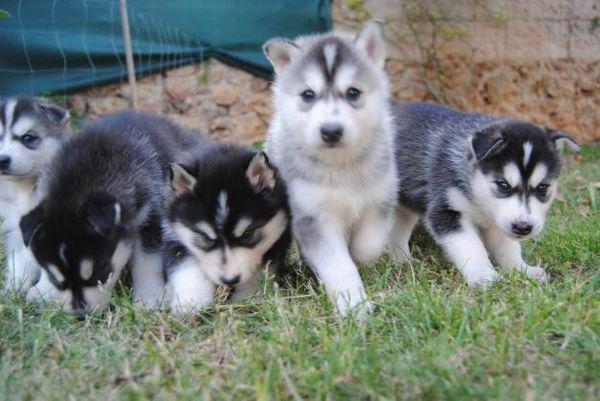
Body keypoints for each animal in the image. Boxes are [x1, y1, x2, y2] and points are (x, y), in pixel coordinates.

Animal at [20, 110, 199, 312]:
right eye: (56, 279)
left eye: (101, 272)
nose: (81, 314)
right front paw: (42, 290)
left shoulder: (151, 216)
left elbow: (147, 263)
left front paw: (148, 298)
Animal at [164, 142, 290, 314]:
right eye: (205, 237)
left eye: (248, 234)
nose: (229, 280)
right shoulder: (174, 237)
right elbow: (187, 267)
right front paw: (190, 301)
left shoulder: (277, 239)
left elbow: (262, 269)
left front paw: (248, 297)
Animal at [264, 21, 398, 316]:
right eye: (308, 94)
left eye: (353, 92)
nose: (331, 131)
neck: (342, 166)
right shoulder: (314, 217)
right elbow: (338, 264)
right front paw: (354, 306)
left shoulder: (379, 199)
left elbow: (369, 245)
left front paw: (361, 259)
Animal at [390, 101, 580, 286]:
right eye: (503, 185)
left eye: (542, 188)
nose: (523, 227)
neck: (477, 196)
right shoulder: (447, 211)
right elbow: (472, 246)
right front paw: (484, 276)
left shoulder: (498, 221)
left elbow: (508, 247)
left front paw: (522, 270)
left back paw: (402, 260)